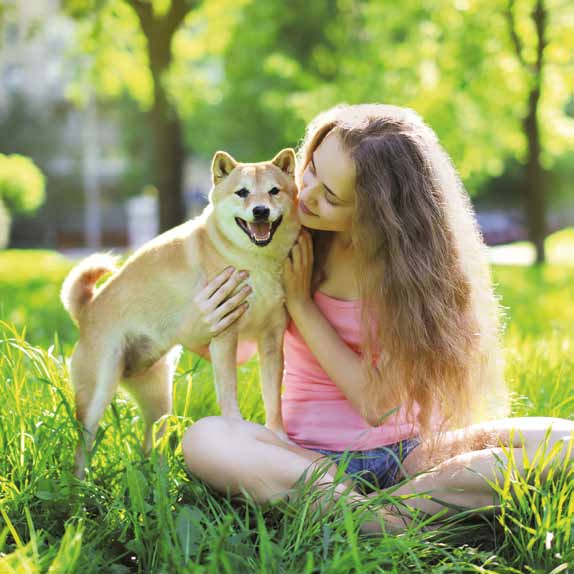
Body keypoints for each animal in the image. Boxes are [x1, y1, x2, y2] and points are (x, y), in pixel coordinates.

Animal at [62, 147, 302, 476]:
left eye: (274, 191)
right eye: (242, 193)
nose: (261, 211)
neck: (254, 261)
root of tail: (87, 310)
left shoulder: (271, 340)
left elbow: (273, 399)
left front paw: (278, 435)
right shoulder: (225, 335)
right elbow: (228, 392)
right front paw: (235, 430)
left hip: (159, 399)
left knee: (150, 442)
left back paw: (157, 475)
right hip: (97, 394)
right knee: (82, 446)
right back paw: (79, 483)